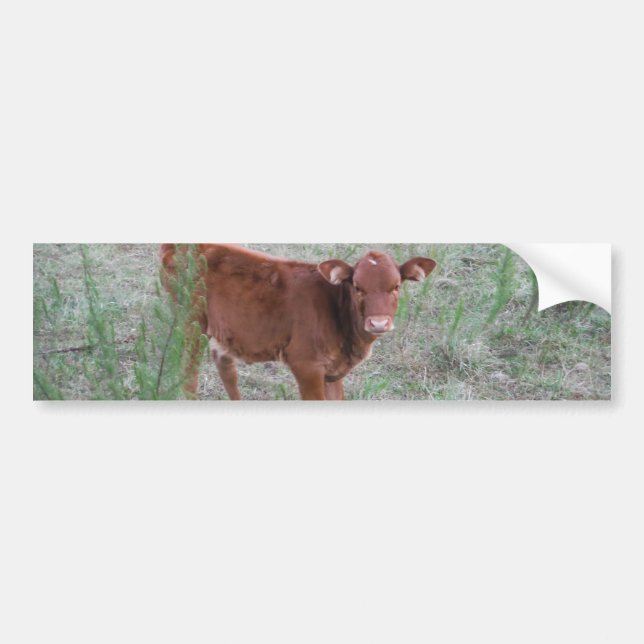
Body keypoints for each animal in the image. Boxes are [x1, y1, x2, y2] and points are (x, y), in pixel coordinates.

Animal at [160, 244, 436, 400]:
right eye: (358, 287)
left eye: (396, 286)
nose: (378, 324)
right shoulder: (306, 365)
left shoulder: (332, 371)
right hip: (191, 323)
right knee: (188, 375)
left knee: (224, 364)